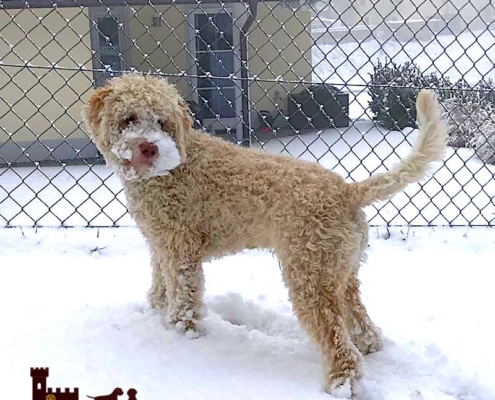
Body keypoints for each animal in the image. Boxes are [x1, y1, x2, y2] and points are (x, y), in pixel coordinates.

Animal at [82, 73, 450, 396]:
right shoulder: (161, 243)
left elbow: (185, 298)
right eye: (129, 118)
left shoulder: (181, 251)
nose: (149, 148)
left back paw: (341, 385)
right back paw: (369, 345)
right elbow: (161, 282)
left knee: (337, 342)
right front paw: (158, 310)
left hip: (310, 278)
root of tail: (347, 191)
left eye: (162, 122)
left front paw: (181, 333)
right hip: (341, 272)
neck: (173, 168)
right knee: (360, 320)